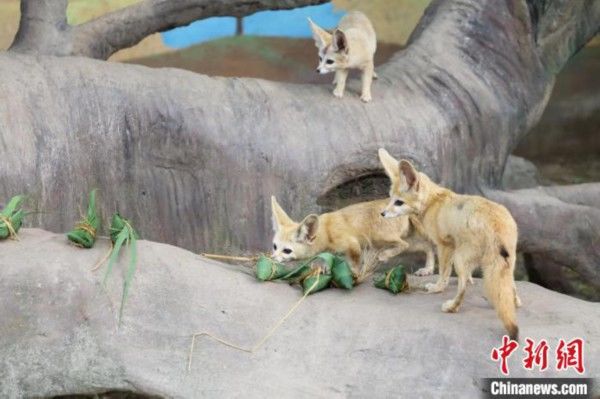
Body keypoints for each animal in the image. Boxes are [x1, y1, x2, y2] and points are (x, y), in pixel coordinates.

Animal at [270, 196, 434, 276]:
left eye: (287, 251)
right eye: (274, 246)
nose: (271, 258)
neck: (327, 231)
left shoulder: (352, 244)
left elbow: (354, 265)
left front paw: (354, 275)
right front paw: (325, 268)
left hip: (381, 238)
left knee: (405, 245)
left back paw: (385, 256)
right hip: (400, 242)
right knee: (427, 246)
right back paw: (428, 269)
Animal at [378, 148, 524, 342]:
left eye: (399, 202)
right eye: (390, 199)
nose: (382, 214)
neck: (433, 202)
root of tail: (496, 224)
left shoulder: (444, 246)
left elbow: (443, 272)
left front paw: (437, 287)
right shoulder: (453, 246)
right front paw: (468, 279)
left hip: (461, 259)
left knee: (462, 291)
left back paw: (451, 307)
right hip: (507, 262)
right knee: (511, 288)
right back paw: (514, 301)